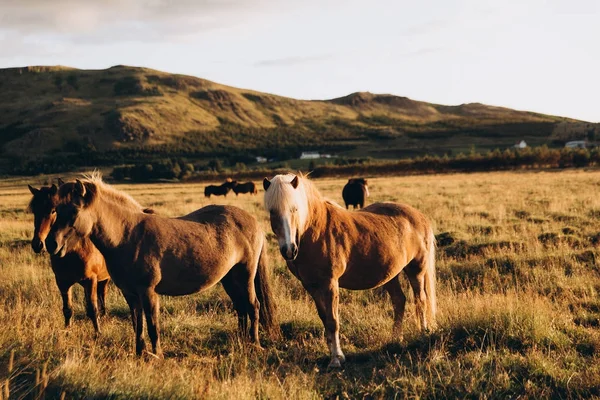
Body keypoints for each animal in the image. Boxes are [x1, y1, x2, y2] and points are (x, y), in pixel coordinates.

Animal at [28, 180, 110, 332]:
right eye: (34, 211)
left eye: (53, 210)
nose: (38, 244)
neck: (74, 250)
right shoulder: (62, 281)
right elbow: (67, 309)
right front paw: (67, 330)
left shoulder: (90, 280)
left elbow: (92, 309)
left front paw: (98, 333)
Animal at [46, 173, 278, 358]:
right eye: (55, 210)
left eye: (74, 211)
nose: (50, 244)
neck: (127, 236)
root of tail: (253, 221)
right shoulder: (130, 294)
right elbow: (137, 324)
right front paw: (139, 353)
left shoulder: (148, 292)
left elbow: (152, 325)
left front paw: (156, 354)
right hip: (229, 279)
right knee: (240, 307)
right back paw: (241, 340)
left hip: (245, 275)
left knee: (253, 305)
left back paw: (254, 344)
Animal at [262, 173, 436, 368]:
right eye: (272, 212)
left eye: (295, 209)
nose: (289, 250)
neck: (315, 231)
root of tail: (419, 216)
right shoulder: (311, 286)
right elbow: (324, 318)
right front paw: (334, 354)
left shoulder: (330, 284)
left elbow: (333, 321)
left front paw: (336, 359)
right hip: (391, 274)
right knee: (399, 301)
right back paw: (395, 339)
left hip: (416, 269)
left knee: (420, 299)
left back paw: (423, 333)